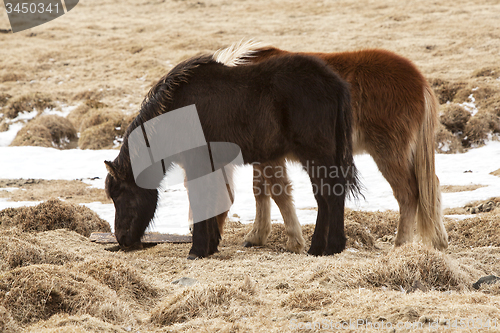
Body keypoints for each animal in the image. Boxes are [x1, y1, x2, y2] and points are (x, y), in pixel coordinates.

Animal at [104, 49, 360, 258]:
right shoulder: (212, 166)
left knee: (330, 195)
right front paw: (210, 246)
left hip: (316, 155)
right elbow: (215, 199)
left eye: (121, 194)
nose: (122, 239)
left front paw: (197, 250)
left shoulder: (198, 164)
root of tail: (334, 83)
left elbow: (201, 200)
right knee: (326, 197)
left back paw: (331, 247)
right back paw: (319, 248)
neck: (176, 111)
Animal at [211, 40, 450, 252]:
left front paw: (294, 242)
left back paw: (400, 245)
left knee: (408, 194)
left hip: (388, 153)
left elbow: (279, 192)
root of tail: (419, 82)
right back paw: (438, 241)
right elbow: (260, 191)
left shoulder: (271, 157)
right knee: (431, 186)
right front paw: (257, 236)